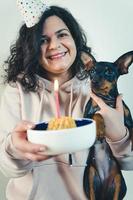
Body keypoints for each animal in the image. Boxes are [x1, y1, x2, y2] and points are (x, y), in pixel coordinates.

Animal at [81, 51, 133, 200]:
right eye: (92, 71)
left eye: (109, 72)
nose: (94, 81)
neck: (106, 100)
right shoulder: (86, 117)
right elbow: (97, 115)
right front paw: (100, 129)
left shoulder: (128, 121)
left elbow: (132, 131)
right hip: (90, 176)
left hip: (119, 181)